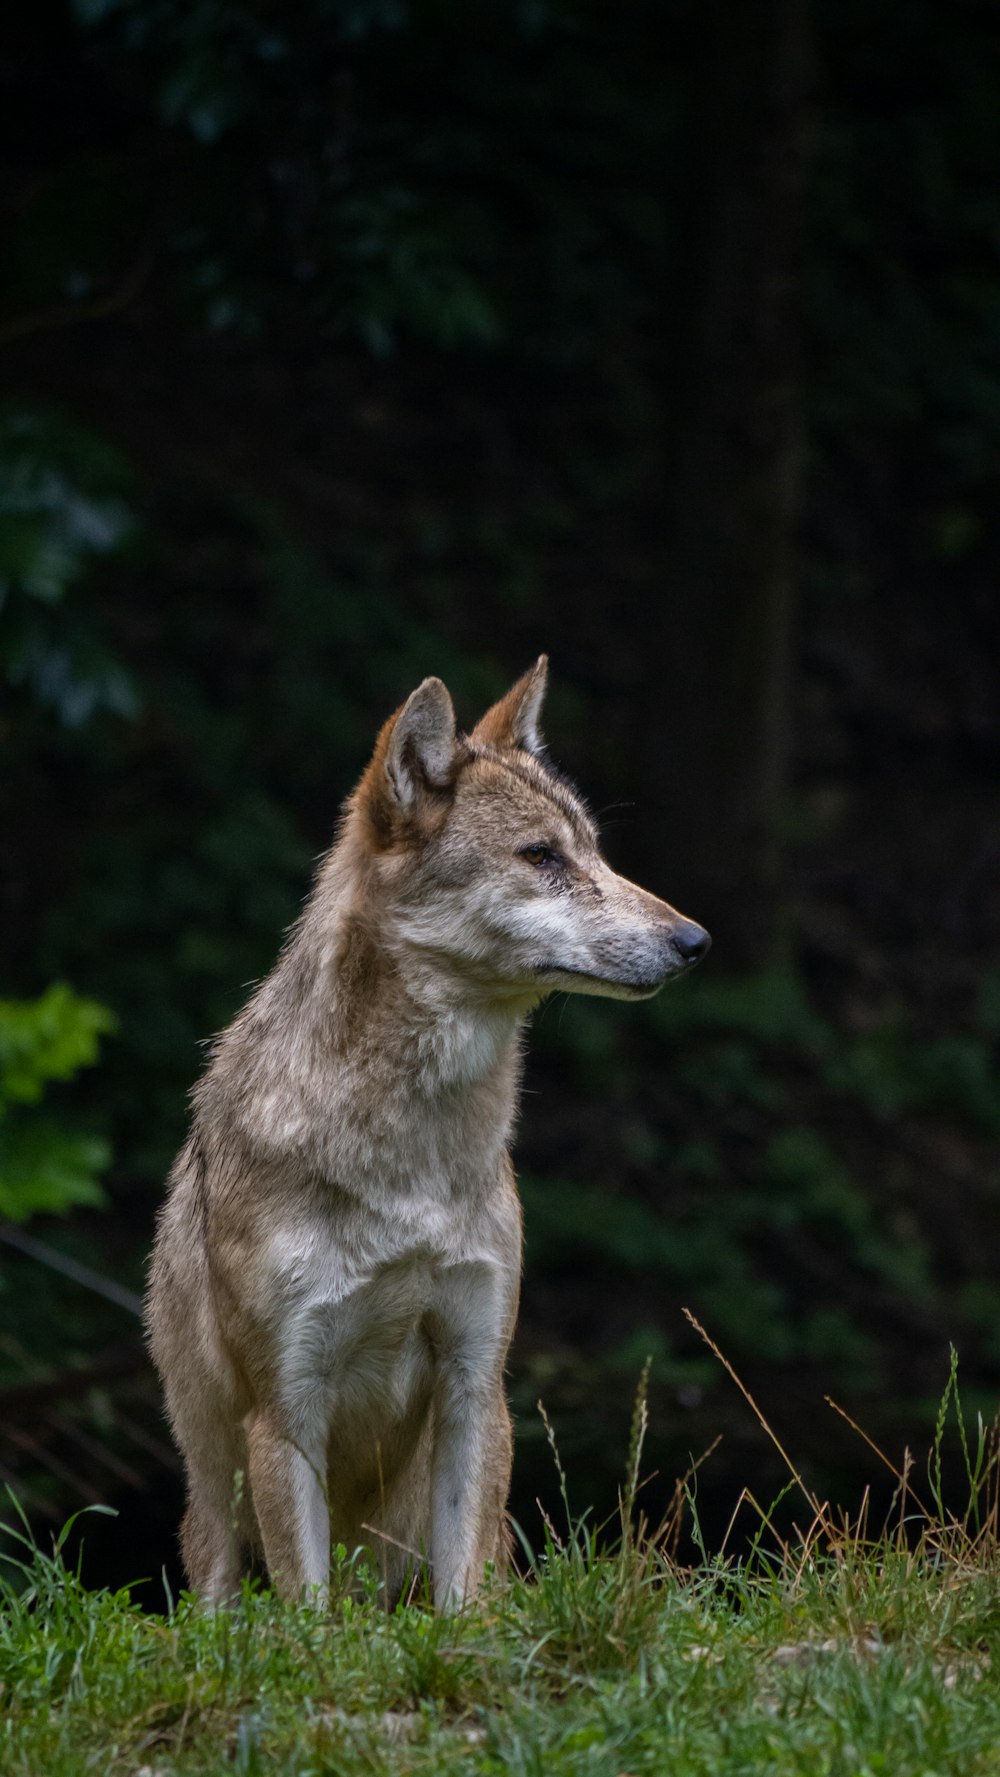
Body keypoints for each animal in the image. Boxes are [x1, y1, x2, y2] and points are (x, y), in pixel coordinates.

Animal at [148, 664, 710, 1613]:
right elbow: (308, 1610)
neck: (409, 1154)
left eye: (595, 852)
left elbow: (464, 1594)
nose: (694, 940)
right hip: (214, 1511)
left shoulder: (476, 1381)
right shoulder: (286, 1407)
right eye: (542, 857)